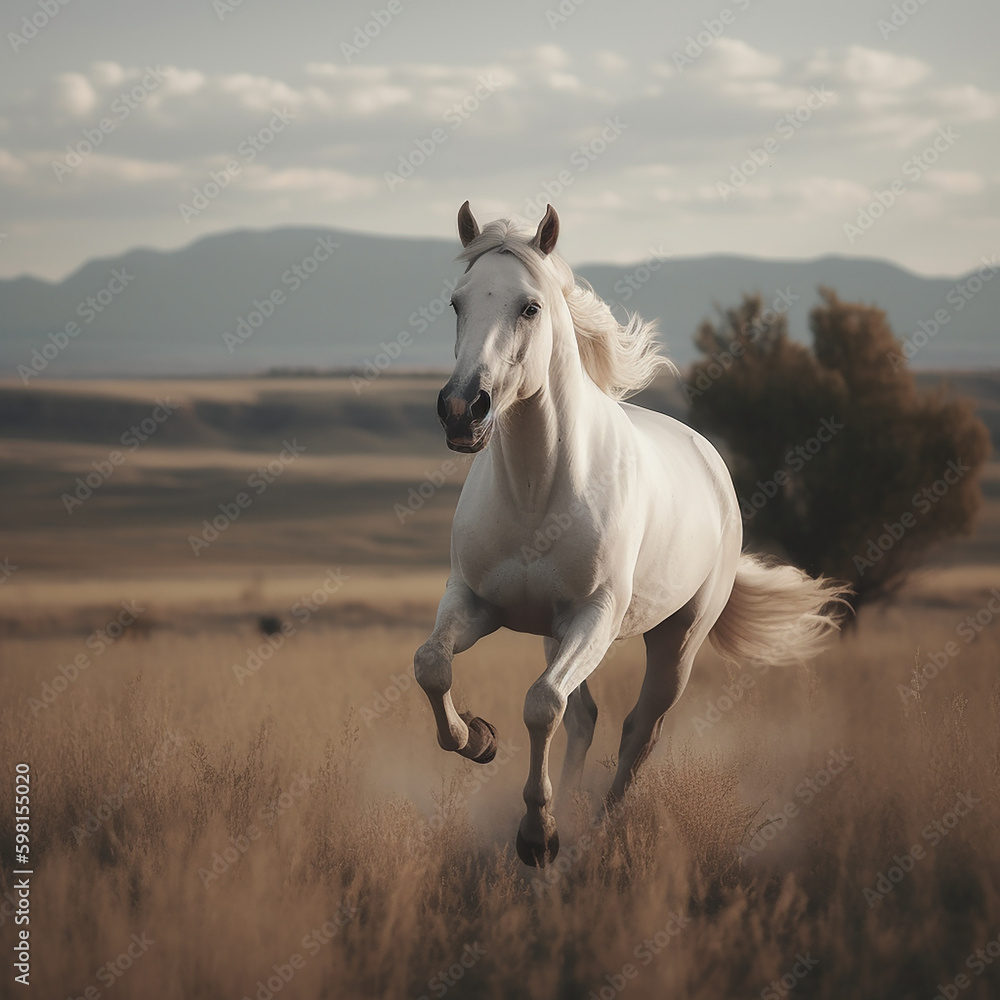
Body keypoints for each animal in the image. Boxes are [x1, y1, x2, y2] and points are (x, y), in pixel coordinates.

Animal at [414, 203, 844, 868]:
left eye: (529, 307)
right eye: (457, 303)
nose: (463, 410)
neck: (538, 491)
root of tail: (709, 460)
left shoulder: (595, 615)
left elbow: (542, 705)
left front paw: (537, 837)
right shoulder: (477, 602)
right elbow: (433, 666)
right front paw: (479, 739)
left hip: (676, 640)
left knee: (639, 729)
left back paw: (597, 831)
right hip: (555, 632)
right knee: (584, 715)